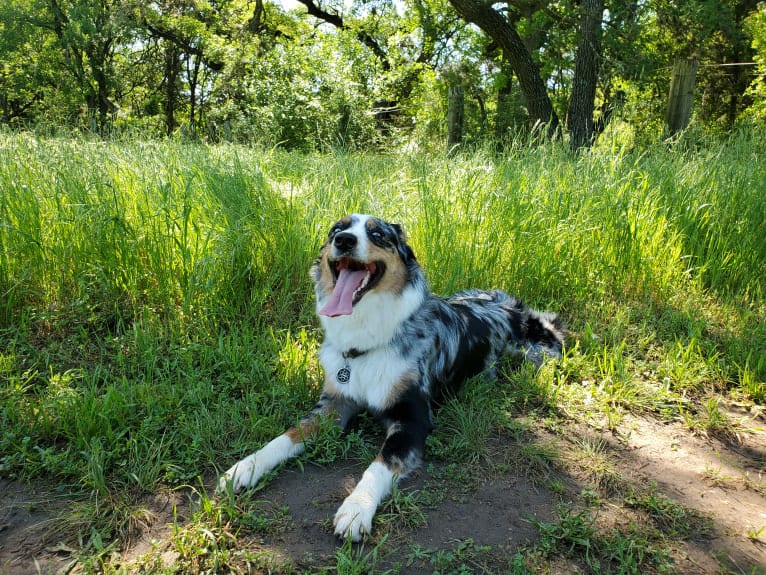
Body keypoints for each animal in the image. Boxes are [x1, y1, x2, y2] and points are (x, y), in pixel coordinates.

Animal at [219, 214, 568, 544]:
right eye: (336, 230)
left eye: (377, 234)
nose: (345, 241)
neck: (365, 336)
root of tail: (512, 305)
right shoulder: (334, 404)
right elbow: (288, 435)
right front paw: (245, 467)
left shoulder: (412, 418)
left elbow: (380, 463)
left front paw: (356, 509)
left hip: (538, 353)